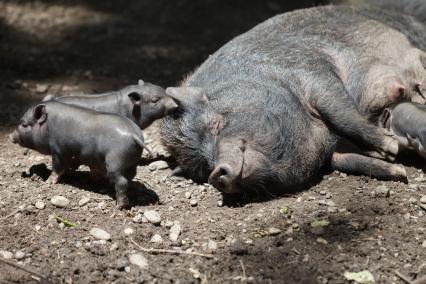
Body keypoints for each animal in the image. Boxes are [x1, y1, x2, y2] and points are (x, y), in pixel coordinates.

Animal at [10, 102, 150, 209]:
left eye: (24, 124)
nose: (10, 136)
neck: (46, 127)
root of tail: (134, 135)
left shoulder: (59, 151)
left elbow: (57, 168)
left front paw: (48, 182)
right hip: (132, 163)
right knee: (130, 177)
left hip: (115, 163)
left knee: (122, 181)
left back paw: (119, 206)